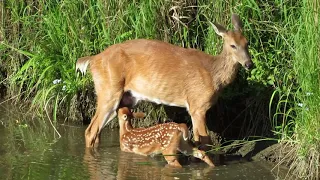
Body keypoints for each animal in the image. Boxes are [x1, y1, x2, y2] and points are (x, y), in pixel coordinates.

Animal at [77, 13, 252, 148]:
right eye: (233, 45)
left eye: (247, 43)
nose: (249, 64)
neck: (213, 74)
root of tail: (93, 60)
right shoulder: (197, 106)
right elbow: (205, 142)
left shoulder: (195, 108)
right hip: (109, 90)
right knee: (90, 131)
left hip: (126, 99)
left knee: (97, 132)